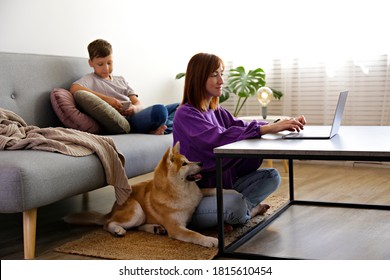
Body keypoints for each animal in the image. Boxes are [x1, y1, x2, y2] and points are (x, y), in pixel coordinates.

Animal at [63, 142, 219, 247]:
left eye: (189, 160)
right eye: (184, 164)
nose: (201, 163)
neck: (181, 192)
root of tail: (113, 209)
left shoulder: (198, 195)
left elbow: (211, 190)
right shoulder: (176, 228)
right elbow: (194, 234)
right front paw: (209, 240)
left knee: (137, 227)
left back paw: (156, 228)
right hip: (136, 211)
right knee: (108, 224)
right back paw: (118, 229)